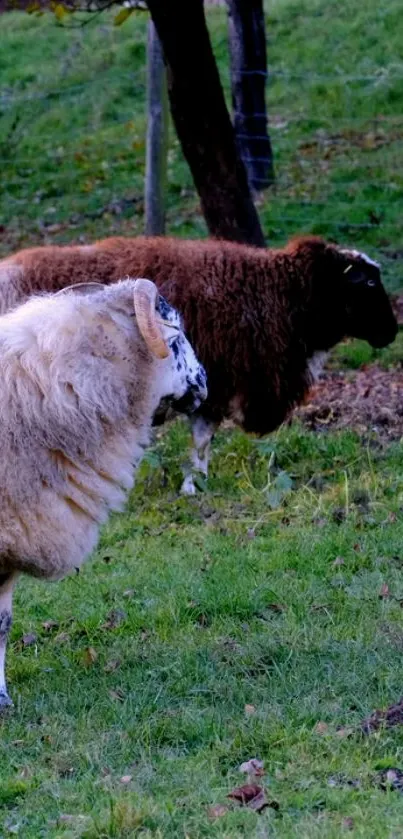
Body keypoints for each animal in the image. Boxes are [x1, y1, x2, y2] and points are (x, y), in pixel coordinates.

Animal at [0, 233, 398, 496]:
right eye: (367, 282)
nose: (393, 332)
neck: (275, 295)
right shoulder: (212, 383)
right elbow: (202, 438)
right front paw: (194, 484)